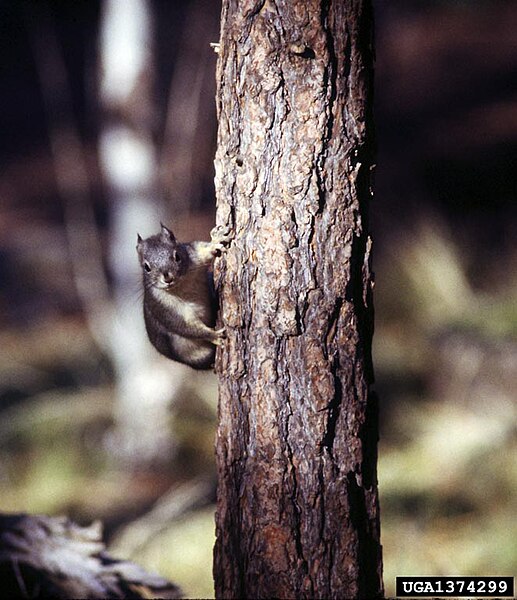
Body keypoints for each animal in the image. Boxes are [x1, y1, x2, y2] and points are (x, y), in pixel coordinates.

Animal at [136, 223, 231, 368]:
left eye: (177, 256)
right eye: (146, 267)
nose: (167, 278)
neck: (182, 285)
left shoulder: (193, 254)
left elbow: (205, 251)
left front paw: (216, 240)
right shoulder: (166, 309)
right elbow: (188, 328)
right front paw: (215, 336)